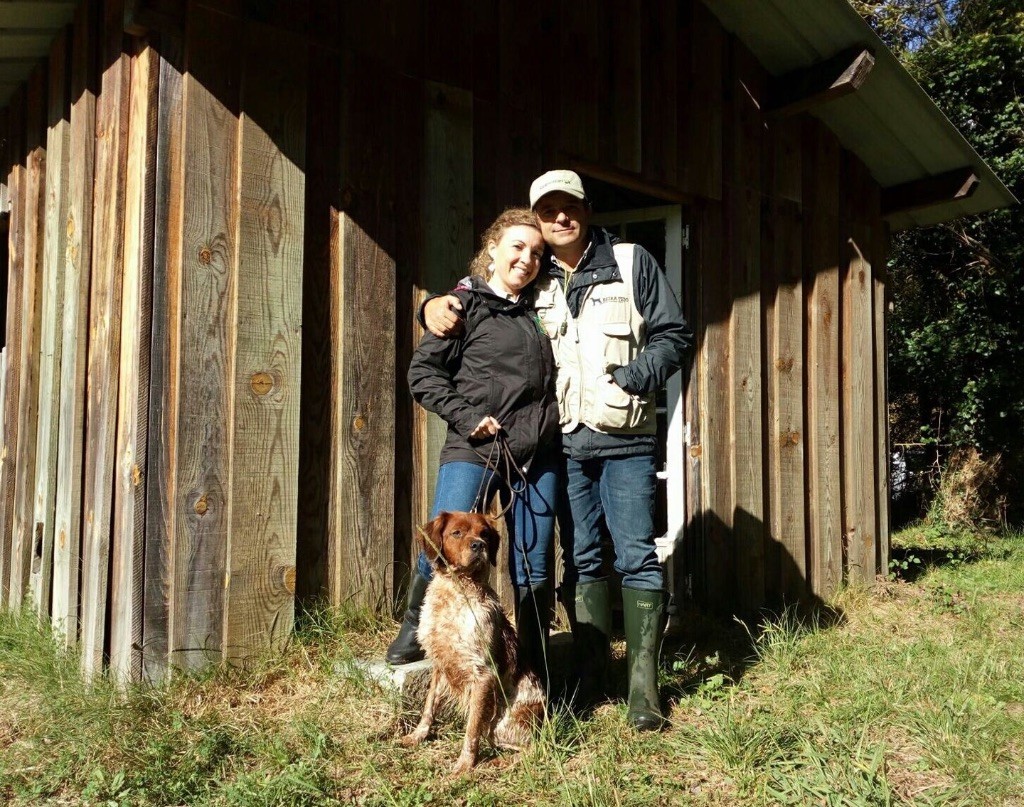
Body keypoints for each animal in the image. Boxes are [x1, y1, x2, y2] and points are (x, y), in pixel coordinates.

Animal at [399, 510, 548, 774]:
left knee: (533, 749)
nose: (479, 545)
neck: (455, 593)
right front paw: (417, 736)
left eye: (485, 533)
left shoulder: (482, 674)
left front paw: (464, 765)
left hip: (502, 724)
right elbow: (428, 707)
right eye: (456, 532)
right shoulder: (440, 663)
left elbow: (472, 729)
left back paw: (499, 762)